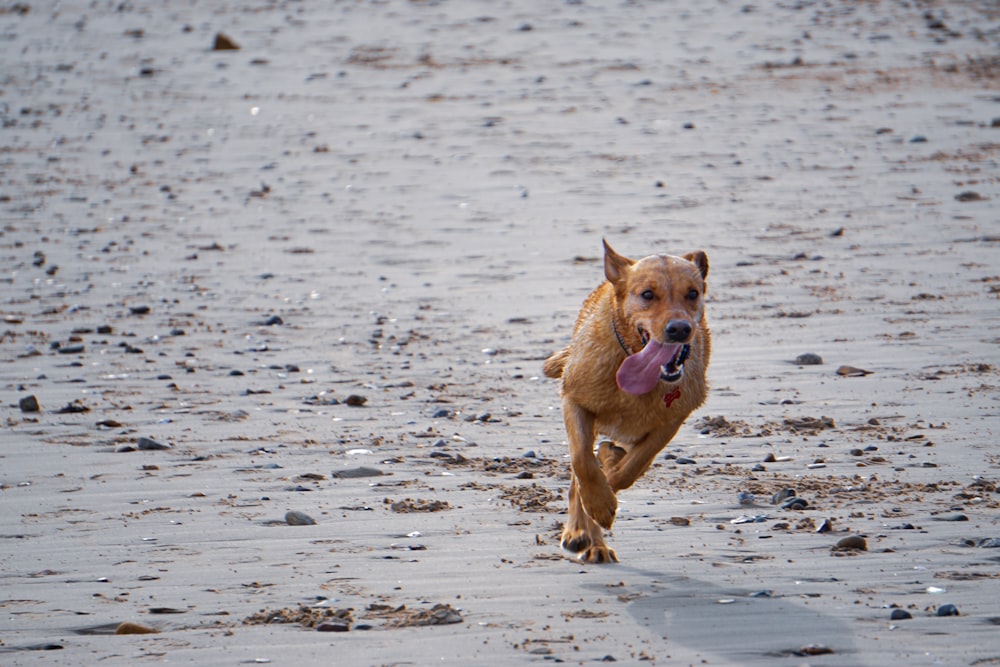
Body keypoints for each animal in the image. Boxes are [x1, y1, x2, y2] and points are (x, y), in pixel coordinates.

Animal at [540, 240, 712, 564]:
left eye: (693, 293)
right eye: (647, 294)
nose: (680, 329)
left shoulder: (671, 420)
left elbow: (632, 467)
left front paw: (609, 481)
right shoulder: (574, 399)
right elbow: (582, 461)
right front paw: (598, 503)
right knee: (577, 476)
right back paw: (582, 535)